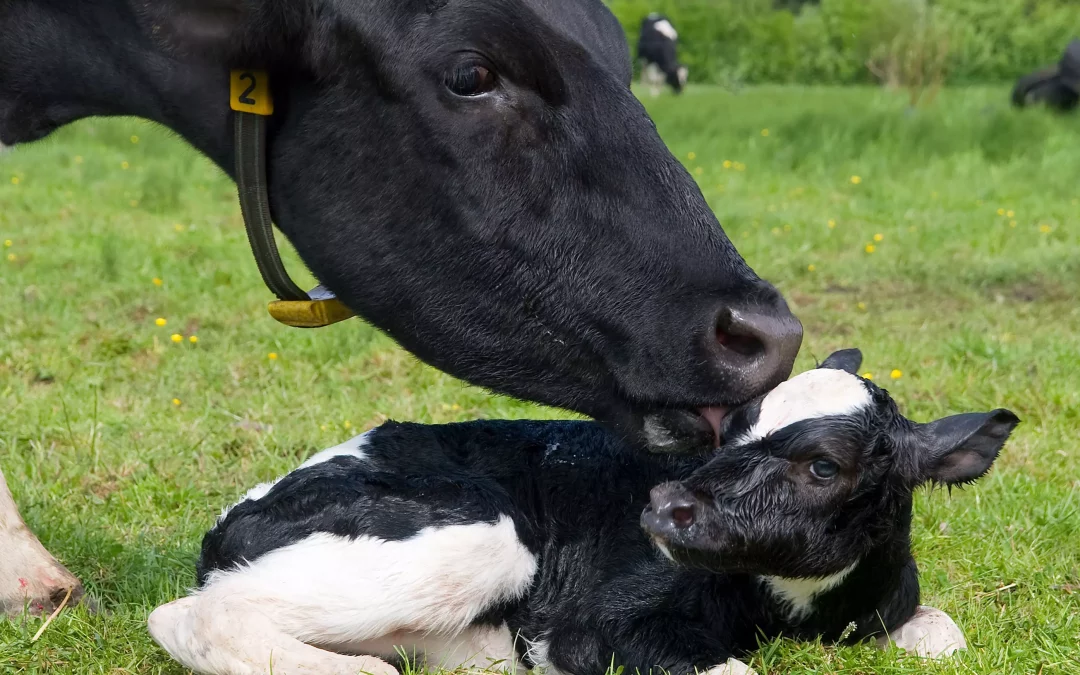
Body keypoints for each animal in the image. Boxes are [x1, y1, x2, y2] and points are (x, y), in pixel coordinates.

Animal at [147, 347, 1015, 673]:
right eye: (731, 426)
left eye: (822, 465)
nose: (666, 504)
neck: (790, 610)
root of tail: (230, 519)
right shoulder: (590, 628)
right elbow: (729, 668)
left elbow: (946, 634)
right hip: (481, 538)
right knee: (189, 614)